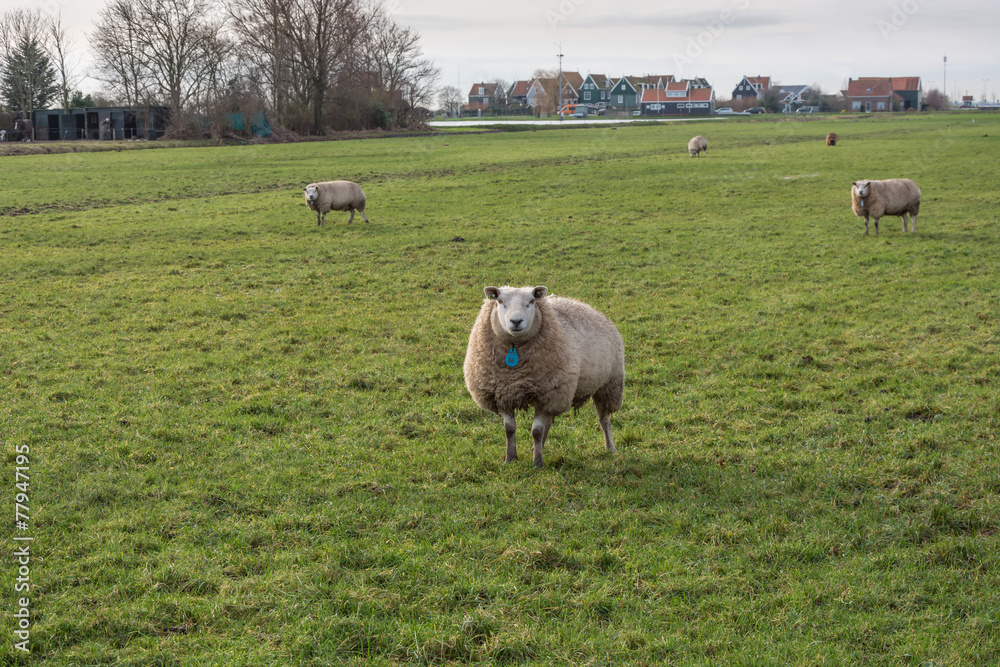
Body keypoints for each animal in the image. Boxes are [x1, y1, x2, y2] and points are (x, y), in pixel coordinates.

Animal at [463, 285, 625, 467]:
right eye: (500, 301)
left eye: (531, 301)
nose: (516, 321)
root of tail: (589, 308)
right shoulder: (503, 394)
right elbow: (509, 429)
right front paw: (510, 458)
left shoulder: (547, 393)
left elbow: (537, 431)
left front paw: (537, 463)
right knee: (549, 422)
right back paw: (537, 447)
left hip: (607, 386)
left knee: (604, 420)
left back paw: (610, 448)